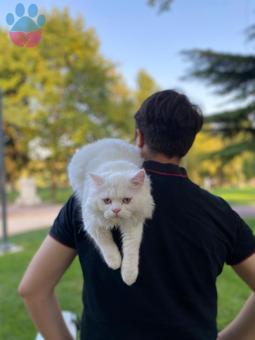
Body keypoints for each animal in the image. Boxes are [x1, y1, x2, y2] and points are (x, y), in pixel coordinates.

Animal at [67, 137, 154, 284]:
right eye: (107, 201)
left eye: (126, 200)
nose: (116, 210)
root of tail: (101, 141)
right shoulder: (93, 224)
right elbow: (106, 244)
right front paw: (115, 262)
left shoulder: (133, 226)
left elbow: (131, 250)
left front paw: (129, 276)